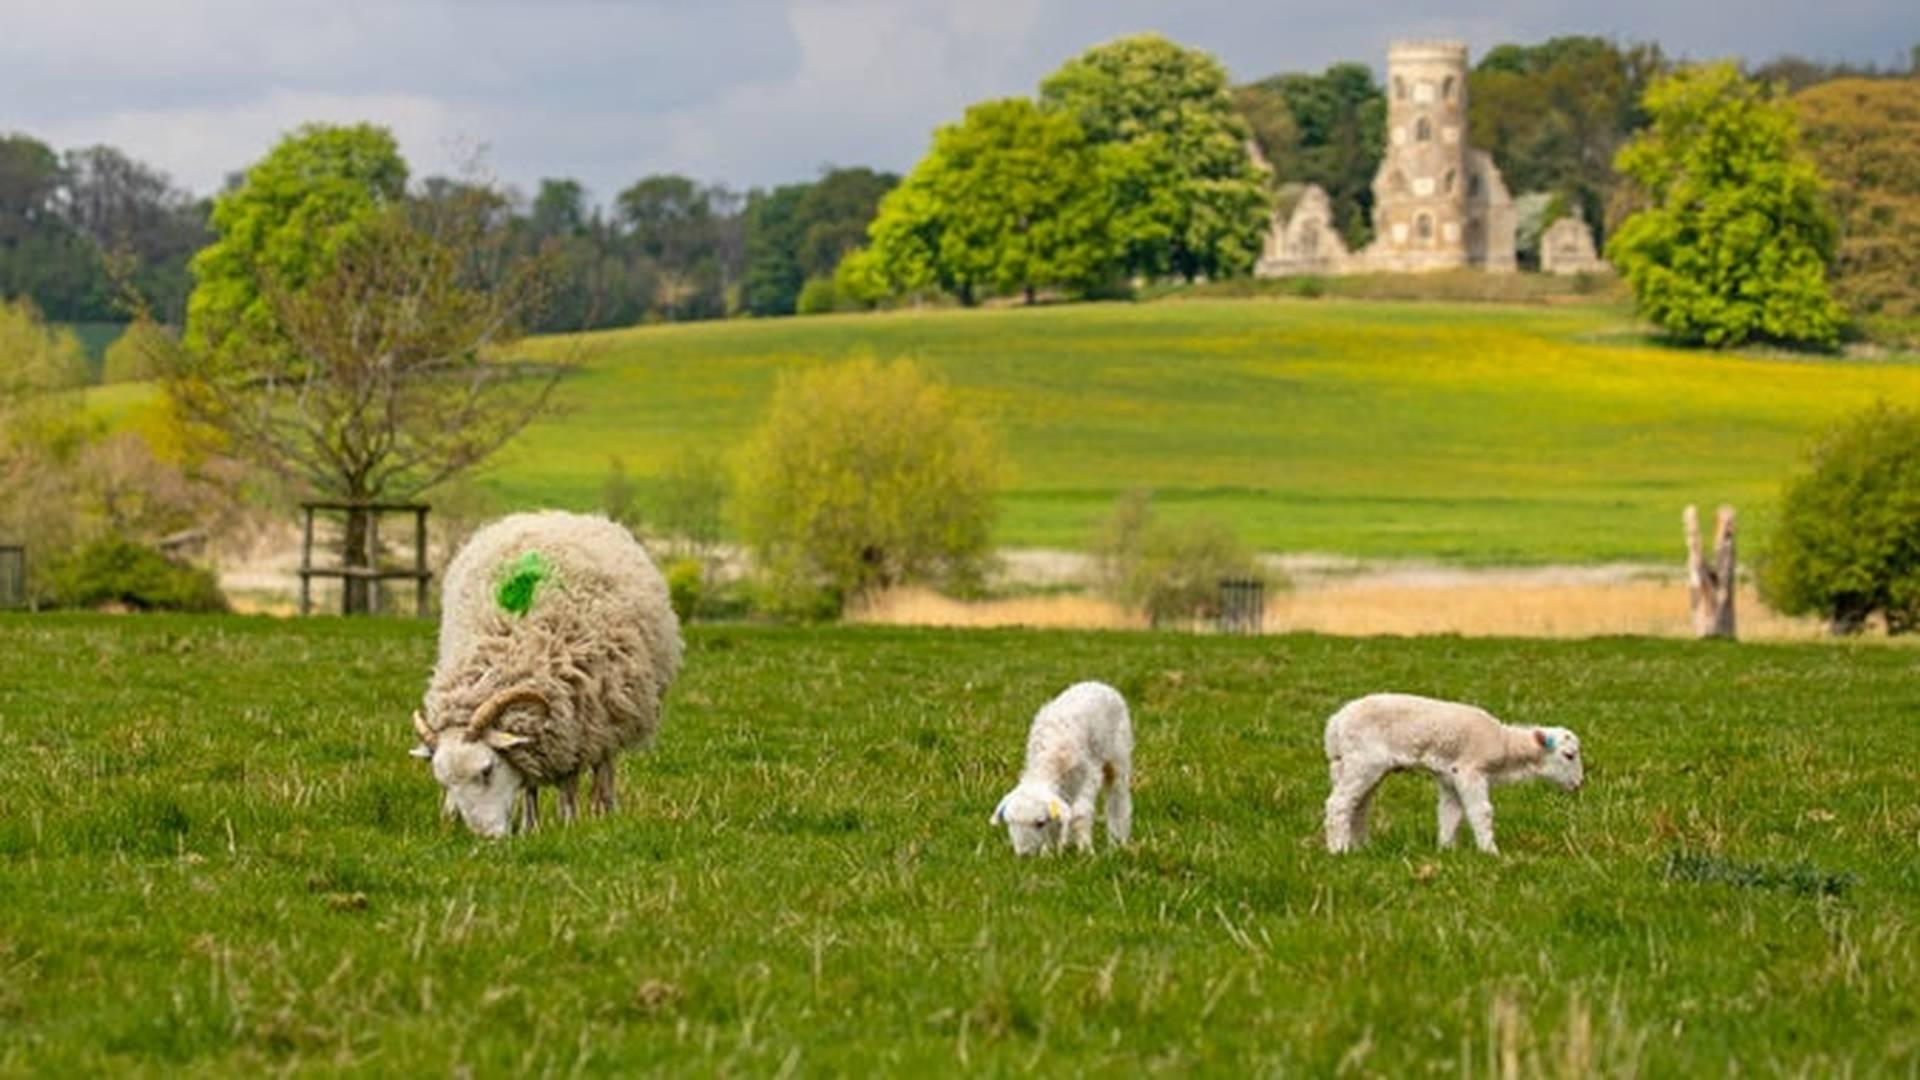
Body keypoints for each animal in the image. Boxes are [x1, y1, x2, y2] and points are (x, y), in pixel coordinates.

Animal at [408, 507, 687, 837]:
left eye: (487, 770)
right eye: (446, 783)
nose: (487, 839)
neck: (515, 647)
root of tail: (554, 515)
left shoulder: (576, 723)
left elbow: (569, 784)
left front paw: (569, 824)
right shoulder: (542, 740)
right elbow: (530, 786)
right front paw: (531, 827)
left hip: (612, 709)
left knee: (605, 766)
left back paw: (604, 811)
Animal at [998, 680, 1128, 849]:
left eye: (1040, 823)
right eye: (1010, 823)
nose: (1024, 854)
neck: (1049, 759)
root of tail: (1097, 683)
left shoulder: (1089, 772)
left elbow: (1080, 812)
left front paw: (1085, 849)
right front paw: (1054, 849)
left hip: (1119, 753)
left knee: (1118, 797)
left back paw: (1119, 840)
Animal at [1328, 691, 1582, 853]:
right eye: (1569, 755)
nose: (1579, 784)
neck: (1506, 744)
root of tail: (1336, 723)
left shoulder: (1450, 776)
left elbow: (1450, 814)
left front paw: (1447, 850)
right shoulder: (1470, 770)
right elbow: (1482, 811)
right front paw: (1490, 852)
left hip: (1353, 766)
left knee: (1359, 805)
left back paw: (1362, 847)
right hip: (1363, 761)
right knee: (1338, 804)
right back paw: (1339, 850)